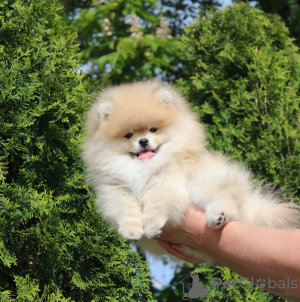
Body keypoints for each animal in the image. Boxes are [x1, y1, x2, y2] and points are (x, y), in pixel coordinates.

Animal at [81, 80, 298, 262]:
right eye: (128, 135)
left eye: (153, 130)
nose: (143, 141)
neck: (143, 168)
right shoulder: (117, 188)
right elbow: (125, 209)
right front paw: (131, 230)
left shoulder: (166, 179)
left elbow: (156, 205)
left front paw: (152, 225)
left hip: (203, 183)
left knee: (227, 202)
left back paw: (218, 216)